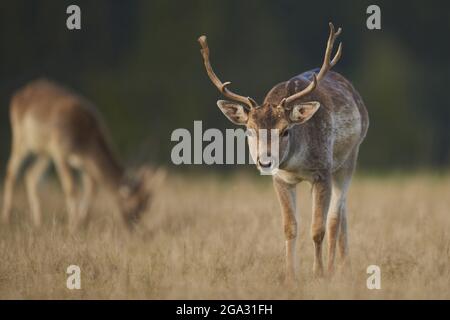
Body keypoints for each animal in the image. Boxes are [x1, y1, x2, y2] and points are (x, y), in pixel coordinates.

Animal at [2, 78, 163, 229]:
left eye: (146, 206)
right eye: (134, 205)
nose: (134, 228)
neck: (85, 139)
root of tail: (18, 95)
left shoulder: (83, 163)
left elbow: (91, 188)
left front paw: (82, 223)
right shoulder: (61, 152)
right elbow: (71, 188)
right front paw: (72, 226)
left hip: (45, 152)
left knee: (30, 176)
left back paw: (37, 223)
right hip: (21, 138)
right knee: (11, 172)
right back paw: (7, 221)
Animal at [200, 23, 370, 280]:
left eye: (285, 130)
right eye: (250, 130)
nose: (265, 161)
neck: (296, 164)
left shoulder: (322, 172)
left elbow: (318, 228)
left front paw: (318, 273)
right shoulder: (280, 179)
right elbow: (290, 228)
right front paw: (290, 275)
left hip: (349, 159)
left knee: (335, 218)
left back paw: (334, 269)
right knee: (343, 214)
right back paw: (344, 267)